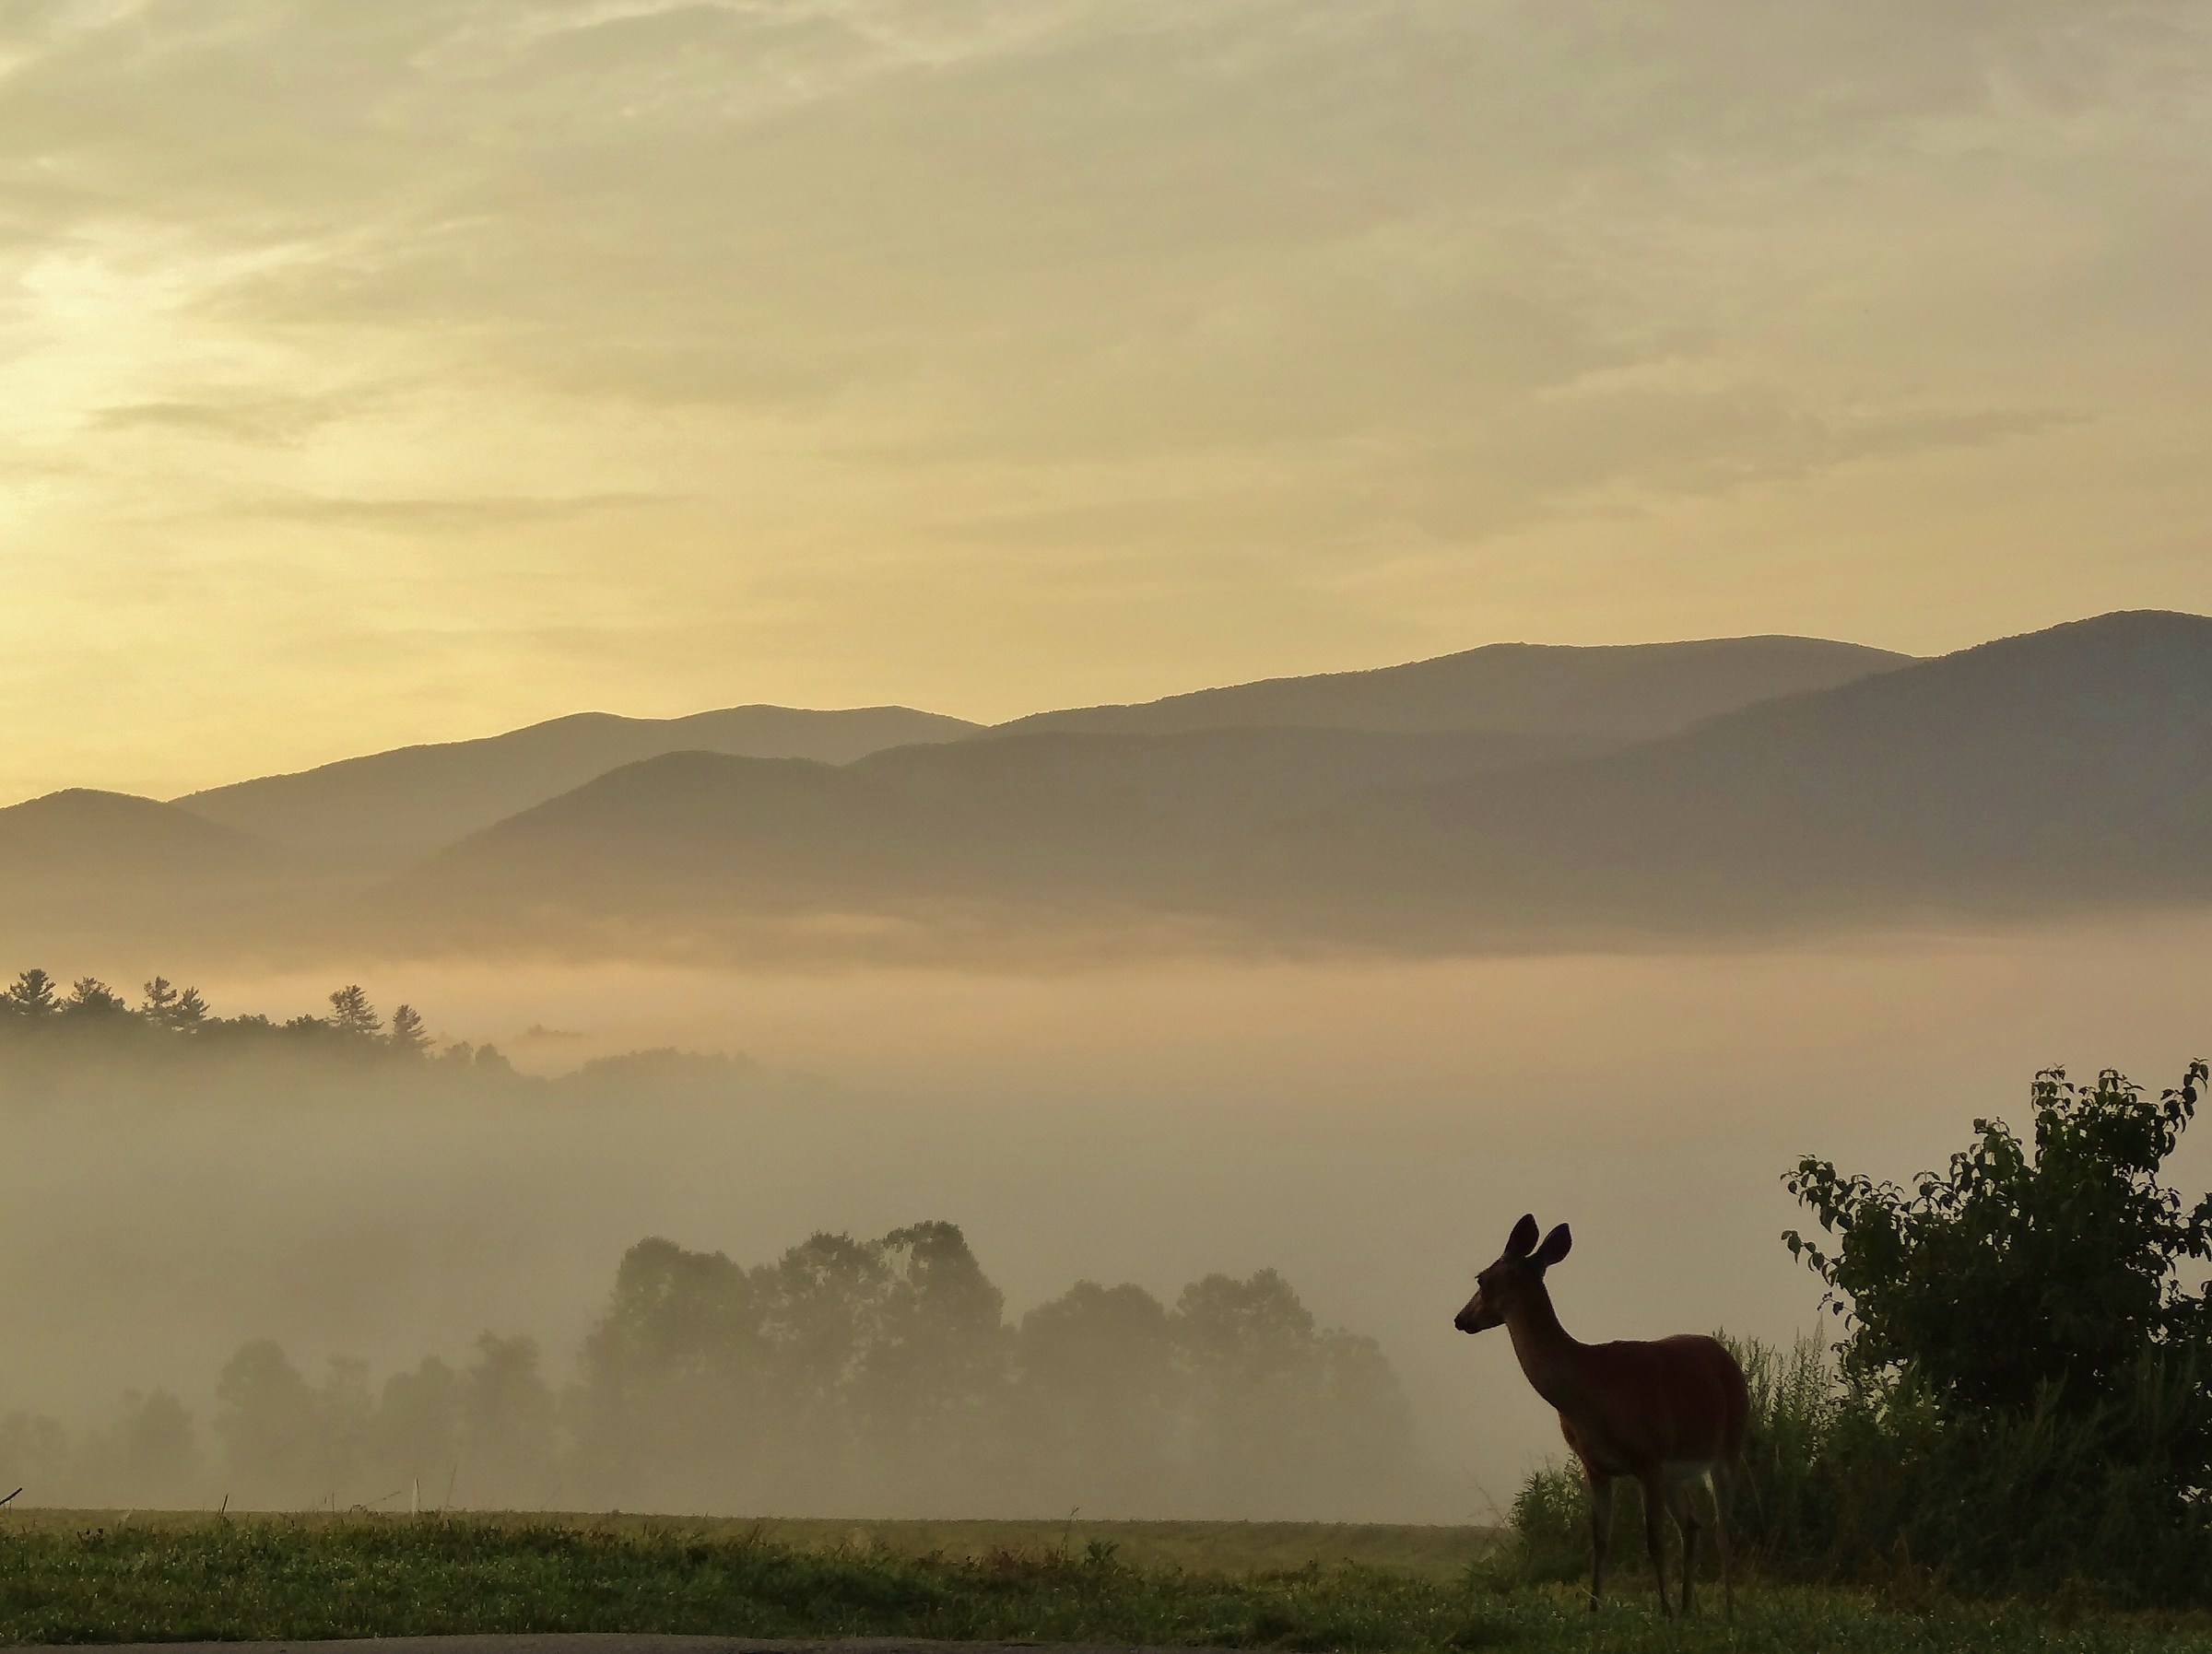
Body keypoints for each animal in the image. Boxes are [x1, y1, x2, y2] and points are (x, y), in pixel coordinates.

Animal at [1455, 1214, 1748, 1618]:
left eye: (1480, 1278)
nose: (1460, 1319)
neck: (1590, 1391)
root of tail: (1728, 1358)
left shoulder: (1648, 1457)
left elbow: (1653, 1540)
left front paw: (1663, 1610)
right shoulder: (1595, 1464)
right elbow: (1600, 1539)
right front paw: (1593, 1608)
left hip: (1728, 1446)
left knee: (1724, 1528)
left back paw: (1728, 1609)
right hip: (1676, 1472)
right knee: (1692, 1524)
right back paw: (1689, 1607)